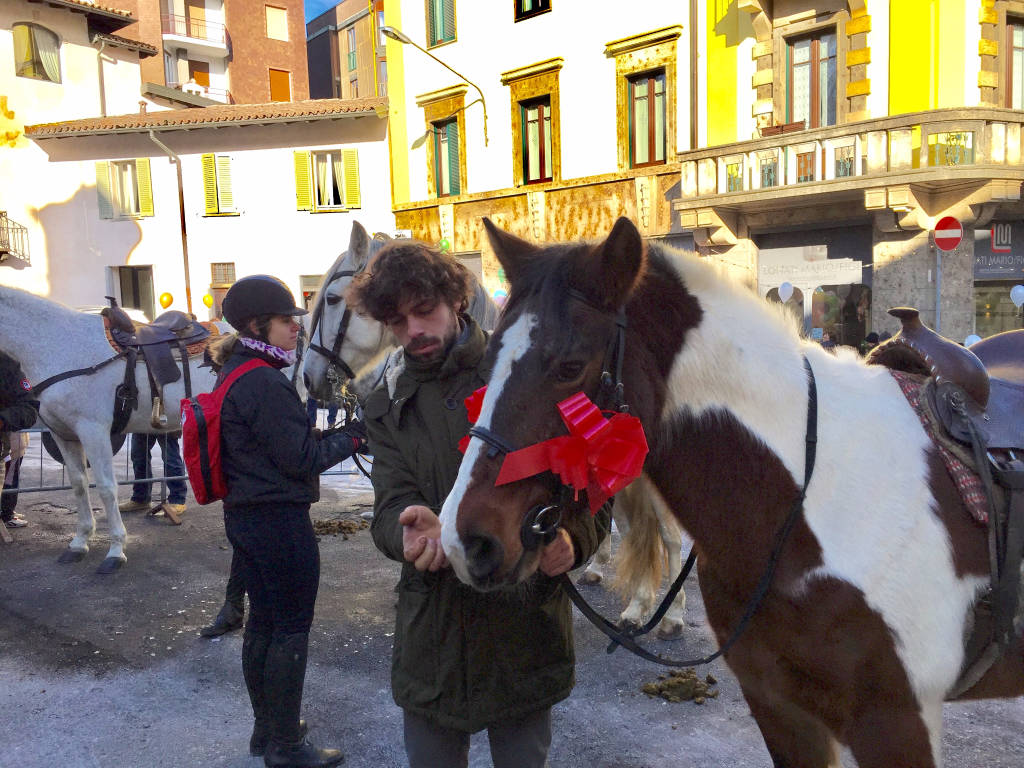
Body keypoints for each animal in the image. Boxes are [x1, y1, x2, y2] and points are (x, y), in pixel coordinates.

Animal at [0, 286, 216, 573]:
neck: (56, 346)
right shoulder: (62, 435)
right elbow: (79, 485)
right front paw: (79, 543)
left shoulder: (94, 432)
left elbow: (105, 487)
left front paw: (115, 550)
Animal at [442, 217, 1024, 768]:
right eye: (487, 360)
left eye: (569, 366)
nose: (465, 540)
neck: (803, 504)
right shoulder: (780, 709)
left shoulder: (897, 724)